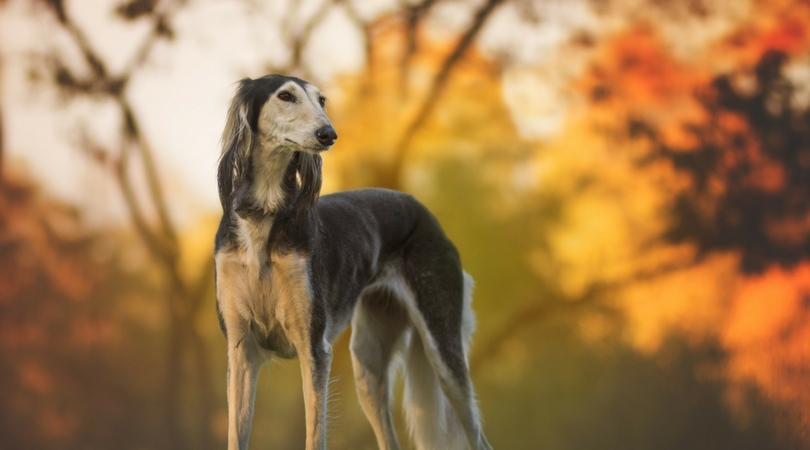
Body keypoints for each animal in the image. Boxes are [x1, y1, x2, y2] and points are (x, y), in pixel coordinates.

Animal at [215, 74, 492, 450]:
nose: (328, 134)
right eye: (285, 96)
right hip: (368, 364)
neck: (265, 216)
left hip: (442, 345)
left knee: (478, 435)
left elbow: (314, 436)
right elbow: (236, 435)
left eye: (321, 100)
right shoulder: (241, 350)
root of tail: (425, 211)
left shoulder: (314, 349)